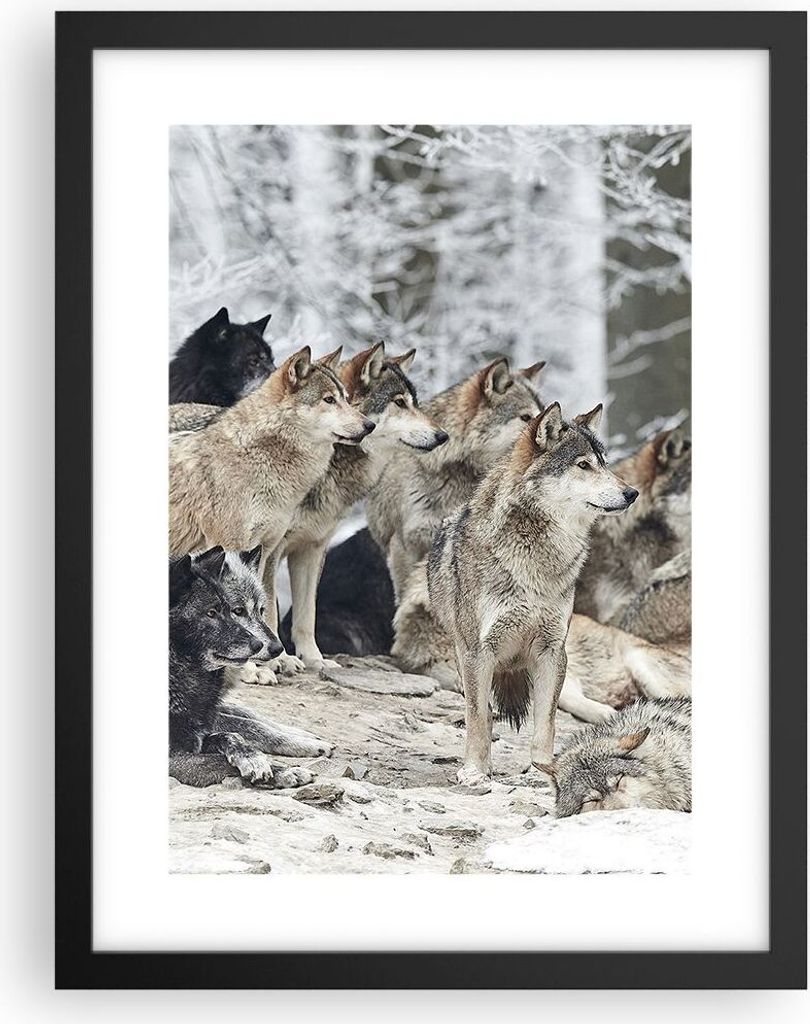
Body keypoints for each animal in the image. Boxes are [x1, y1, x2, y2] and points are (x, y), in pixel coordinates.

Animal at [168, 547, 329, 789]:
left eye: (262, 610)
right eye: (238, 611)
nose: (276, 648)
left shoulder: (207, 716)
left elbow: (245, 723)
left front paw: (301, 738)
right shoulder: (176, 756)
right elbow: (232, 745)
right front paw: (283, 769)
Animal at [264, 343, 447, 674]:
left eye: (416, 403)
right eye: (399, 403)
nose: (443, 435)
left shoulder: (312, 549)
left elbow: (306, 615)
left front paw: (315, 659)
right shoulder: (269, 550)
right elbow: (269, 607)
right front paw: (280, 660)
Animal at [427, 403, 638, 787]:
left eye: (604, 463)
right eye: (583, 465)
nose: (632, 493)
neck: (536, 558)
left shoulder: (552, 652)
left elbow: (546, 723)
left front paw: (542, 770)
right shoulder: (478, 652)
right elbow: (477, 717)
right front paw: (475, 771)